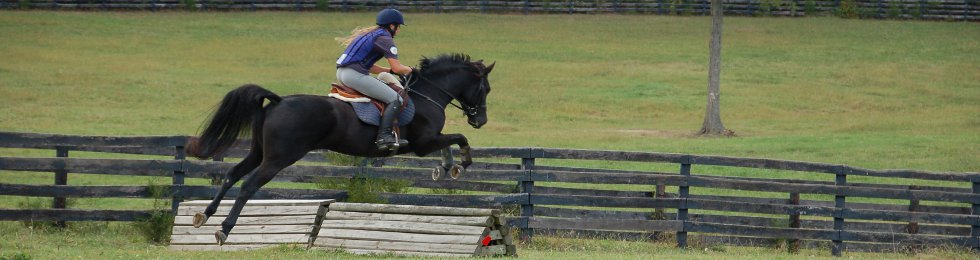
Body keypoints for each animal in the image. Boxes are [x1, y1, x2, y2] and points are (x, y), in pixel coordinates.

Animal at [183, 53, 494, 244]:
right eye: (485, 89)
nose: (481, 120)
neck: (427, 93)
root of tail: (279, 100)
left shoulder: (430, 140)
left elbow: (450, 142)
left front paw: (447, 167)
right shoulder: (424, 142)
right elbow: (459, 138)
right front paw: (461, 163)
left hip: (259, 152)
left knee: (231, 175)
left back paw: (205, 215)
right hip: (279, 158)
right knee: (248, 185)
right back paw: (224, 229)